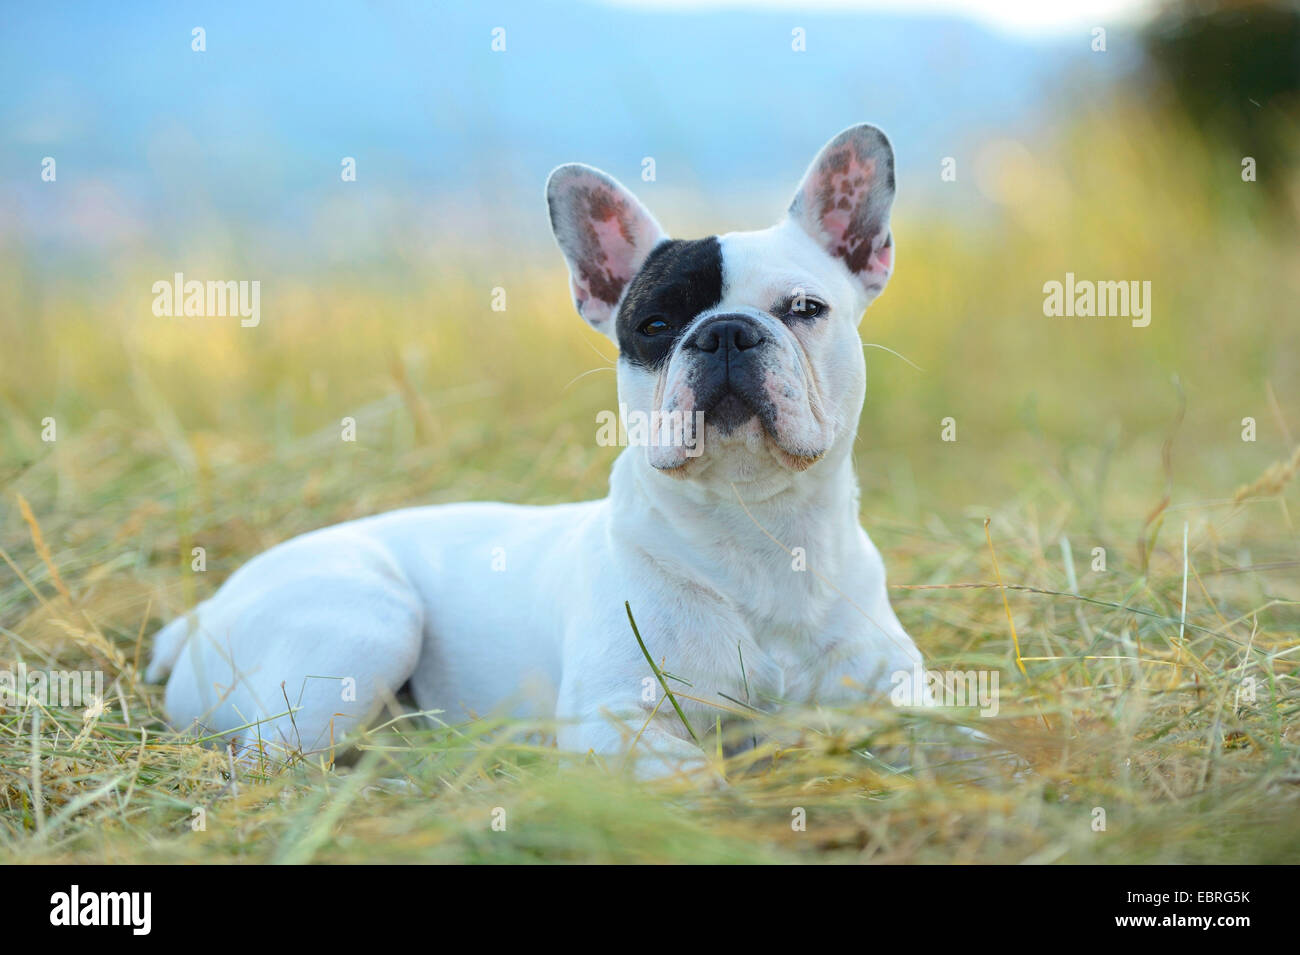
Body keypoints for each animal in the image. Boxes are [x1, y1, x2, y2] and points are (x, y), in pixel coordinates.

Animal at [149, 125, 925, 779]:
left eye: (804, 309)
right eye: (655, 324)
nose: (725, 331)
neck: (756, 532)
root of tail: (200, 613)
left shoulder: (900, 685)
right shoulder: (615, 719)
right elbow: (694, 769)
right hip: (368, 621)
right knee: (270, 759)